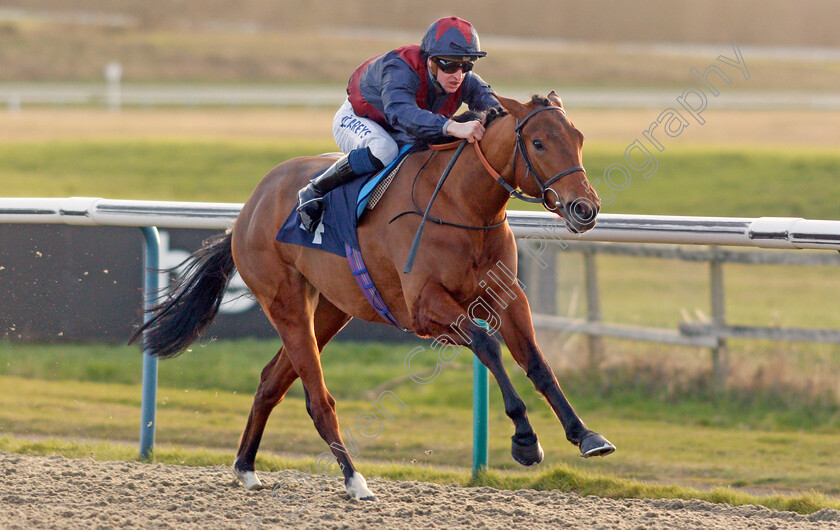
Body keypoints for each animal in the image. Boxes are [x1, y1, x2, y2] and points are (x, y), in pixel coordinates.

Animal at [133, 91, 616, 500]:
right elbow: (487, 345)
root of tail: (250, 206)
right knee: (317, 398)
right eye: (538, 142)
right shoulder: (425, 309)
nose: (585, 209)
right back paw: (353, 479)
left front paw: (586, 435)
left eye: (578, 138)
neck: (463, 206)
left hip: (331, 309)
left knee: (272, 380)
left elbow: (537, 362)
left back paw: (246, 467)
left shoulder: (508, 296)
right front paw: (525, 440)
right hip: (285, 303)